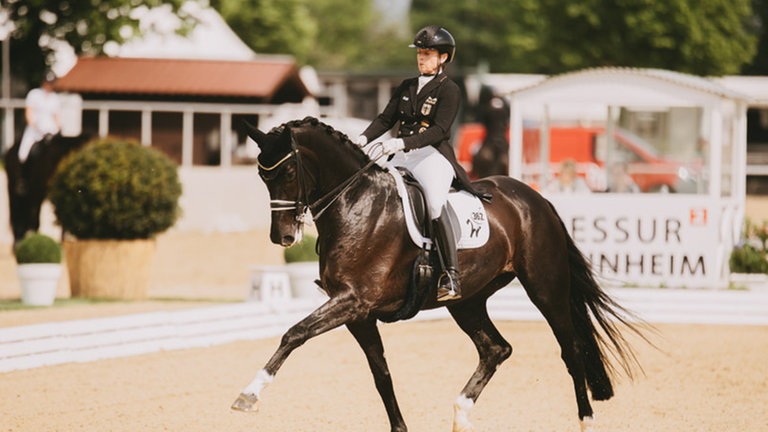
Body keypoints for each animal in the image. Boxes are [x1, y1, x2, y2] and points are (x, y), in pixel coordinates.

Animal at [231, 118, 644, 432]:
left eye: (287, 171)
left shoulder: (354, 301)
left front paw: (248, 395)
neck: (356, 204)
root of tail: (536, 198)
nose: (283, 237)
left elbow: (294, 333)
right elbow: (381, 375)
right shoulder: (358, 314)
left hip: (545, 287)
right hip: (467, 300)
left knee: (570, 349)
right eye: (261, 175)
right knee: (496, 349)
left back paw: (586, 420)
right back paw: (461, 415)